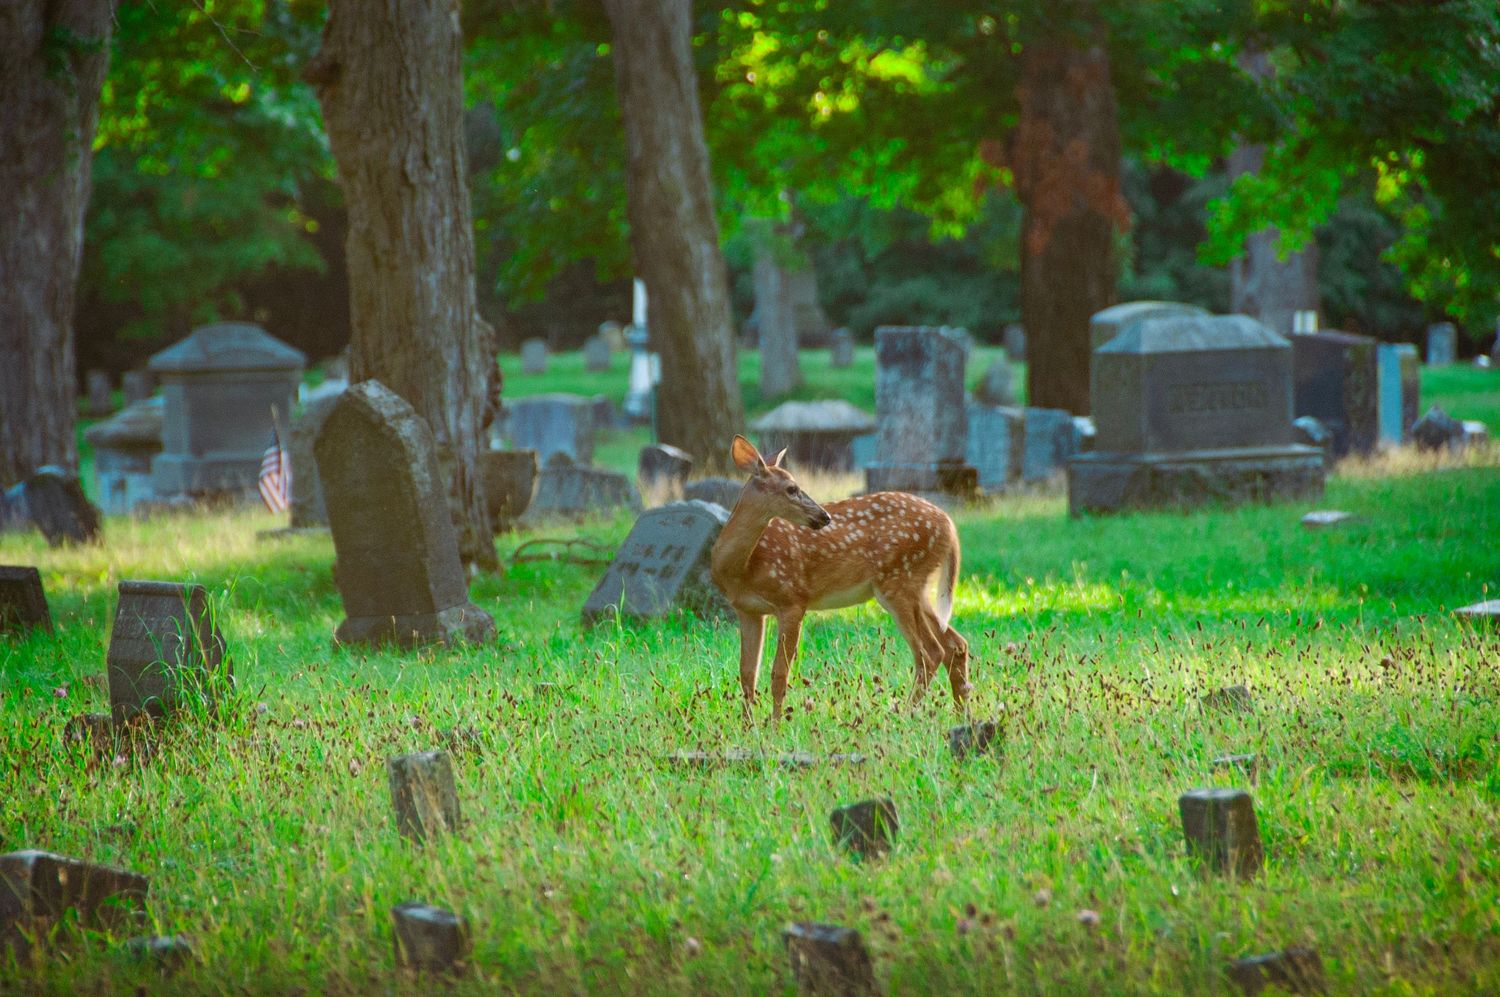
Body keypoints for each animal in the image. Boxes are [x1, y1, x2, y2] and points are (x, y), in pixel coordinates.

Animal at [709, 435, 971, 721]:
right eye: (791, 488)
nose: (824, 516)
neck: (743, 568)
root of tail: (949, 525)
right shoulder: (748, 610)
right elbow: (747, 674)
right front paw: (749, 725)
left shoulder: (793, 600)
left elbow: (779, 674)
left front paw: (775, 724)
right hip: (917, 587)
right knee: (955, 645)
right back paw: (961, 714)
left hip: (898, 580)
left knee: (930, 652)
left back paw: (902, 715)